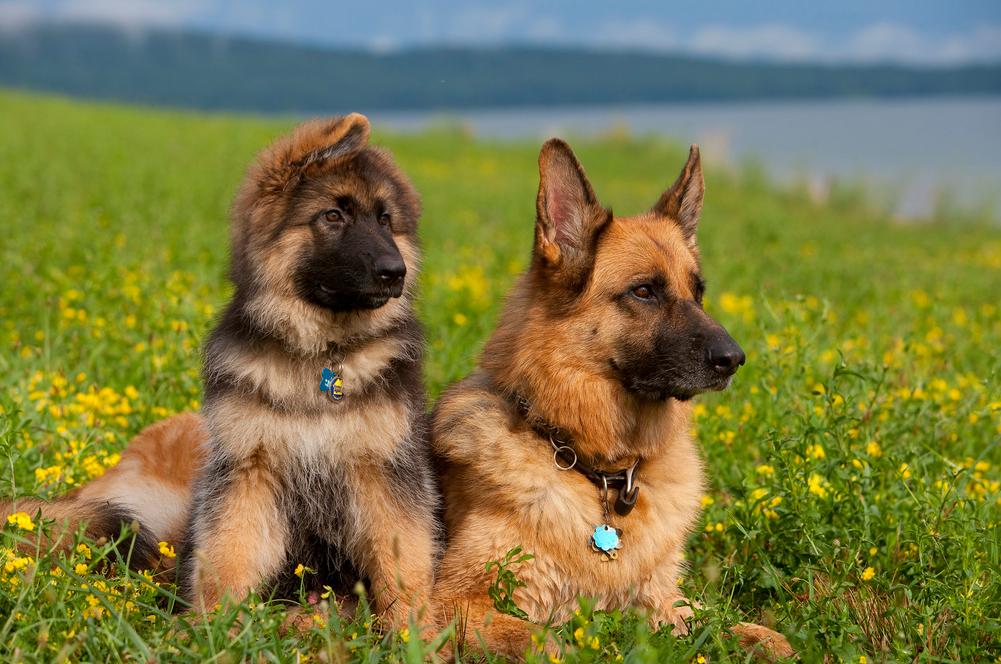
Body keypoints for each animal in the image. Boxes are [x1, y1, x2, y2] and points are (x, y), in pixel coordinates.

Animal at [0, 115, 438, 628]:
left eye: (386, 220)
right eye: (334, 216)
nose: (396, 272)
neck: (320, 357)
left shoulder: (384, 475)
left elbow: (403, 564)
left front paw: (414, 634)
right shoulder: (248, 473)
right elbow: (228, 556)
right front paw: (212, 630)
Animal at [434, 139, 792, 660]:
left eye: (699, 292)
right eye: (644, 291)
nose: (735, 359)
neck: (593, 466)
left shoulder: (662, 601)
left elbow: (724, 624)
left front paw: (766, 639)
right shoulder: (449, 603)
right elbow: (542, 640)